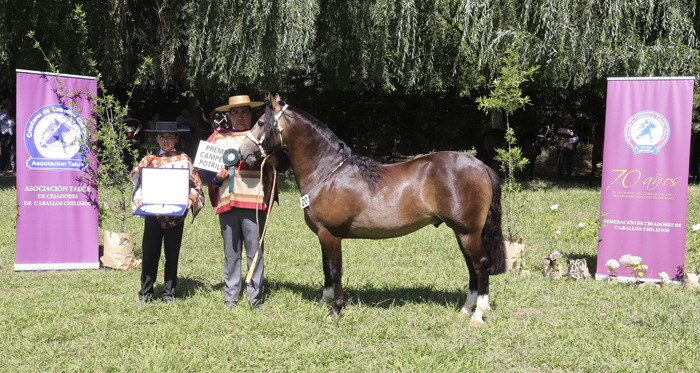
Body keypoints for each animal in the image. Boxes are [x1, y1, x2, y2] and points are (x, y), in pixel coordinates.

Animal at [239, 94, 504, 324]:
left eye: (261, 122)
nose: (242, 152)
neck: (328, 172)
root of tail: (480, 166)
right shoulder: (323, 235)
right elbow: (326, 270)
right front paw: (324, 302)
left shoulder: (331, 235)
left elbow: (335, 271)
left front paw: (336, 310)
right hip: (463, 233)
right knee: (472, 267)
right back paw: (465, 309)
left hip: (468, 233)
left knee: (480, 265)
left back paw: (478, 314)